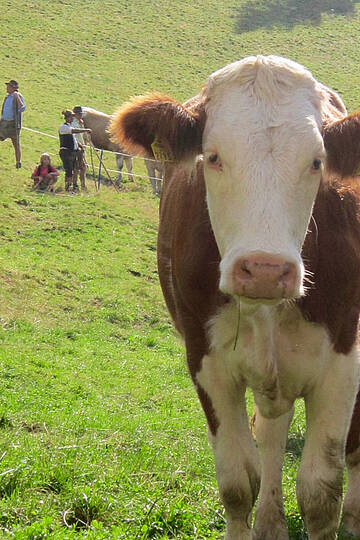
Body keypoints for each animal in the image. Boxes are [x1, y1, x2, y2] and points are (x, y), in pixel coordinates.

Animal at [109, 56, 360, 540]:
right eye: (213, 156)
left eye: (316, 161)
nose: (264, 269)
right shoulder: (207, 364)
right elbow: (239, 482)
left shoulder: (343, 362)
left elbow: (321, 494)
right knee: (274, 432)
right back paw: (270, 524)